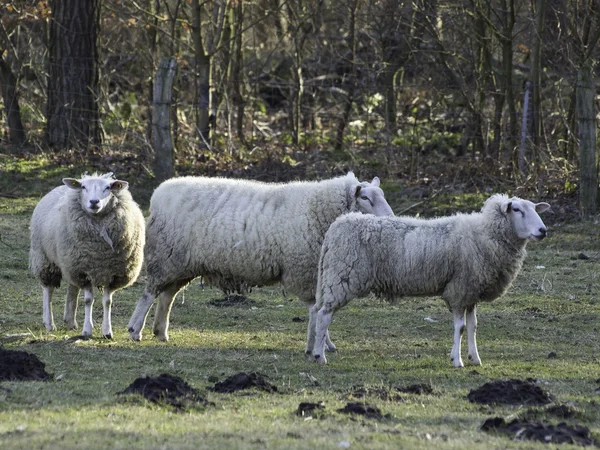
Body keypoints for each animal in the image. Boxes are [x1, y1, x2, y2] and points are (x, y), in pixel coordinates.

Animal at [29, 172, 145, 338]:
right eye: (83, 187)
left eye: (108, 187)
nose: (94, 202)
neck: (100, 251)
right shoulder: (84, 271)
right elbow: (88, 300)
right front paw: (87, 330)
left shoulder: (112, 273)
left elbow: (107, 302)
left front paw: (107, 331)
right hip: (45, 258)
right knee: (48, 289)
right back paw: (49, 323)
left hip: (70, 263)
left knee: (72, 289)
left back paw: (70, 321)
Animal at [126, 172, 394, 342]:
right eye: (365, 198)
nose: (391, 219)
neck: (319, 209)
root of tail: (159, 194)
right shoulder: (302, 270)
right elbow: (315, 309)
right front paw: (324, 342)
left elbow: (318, 309)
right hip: (166, 257)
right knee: (149, 293)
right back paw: (135, 329)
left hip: (183, 263)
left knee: (167, 296)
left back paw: (161, 332)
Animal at [308, 192, 552, 366]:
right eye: (517, 209)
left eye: (534, 209)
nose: (543, 230)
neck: (485, 233)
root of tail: (338, 225)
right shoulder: (459, 288)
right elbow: (460, 327)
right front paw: (457, 360)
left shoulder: (471, 291)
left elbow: (473, 326)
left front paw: (475, 358)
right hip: (342, 277)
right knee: (324, 316)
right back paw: (320, 356)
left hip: (334, 278)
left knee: (319, 312)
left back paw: (313, 350)